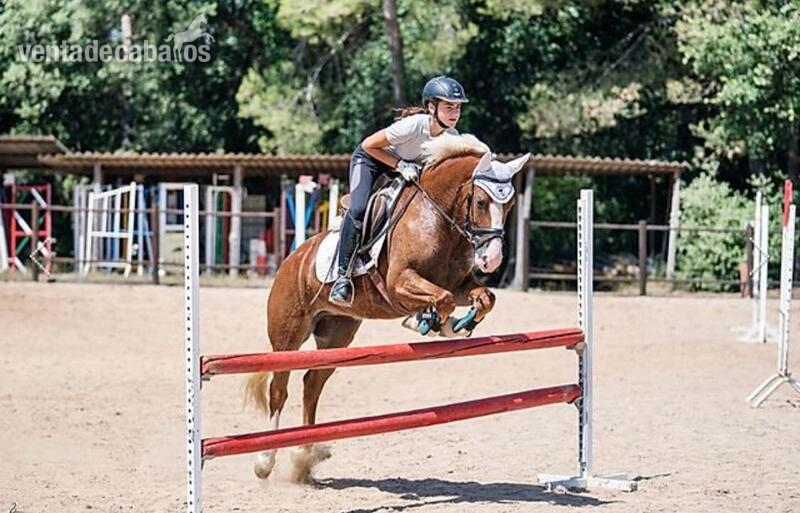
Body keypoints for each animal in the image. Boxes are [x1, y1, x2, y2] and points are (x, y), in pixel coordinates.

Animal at [245, 134, 531, 482]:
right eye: (479, 203)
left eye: (510, 205)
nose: (492, 261)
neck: (438, 217)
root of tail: (290, 261)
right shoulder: (399, 283)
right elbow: (442, 299)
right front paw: (424, 322)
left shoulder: (461, 284)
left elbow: (482, 298)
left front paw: (454, 325)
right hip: (288, 337)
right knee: (279, 389)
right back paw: (264, 460)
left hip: (336, 336)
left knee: (312, 384)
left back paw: (304, 455)